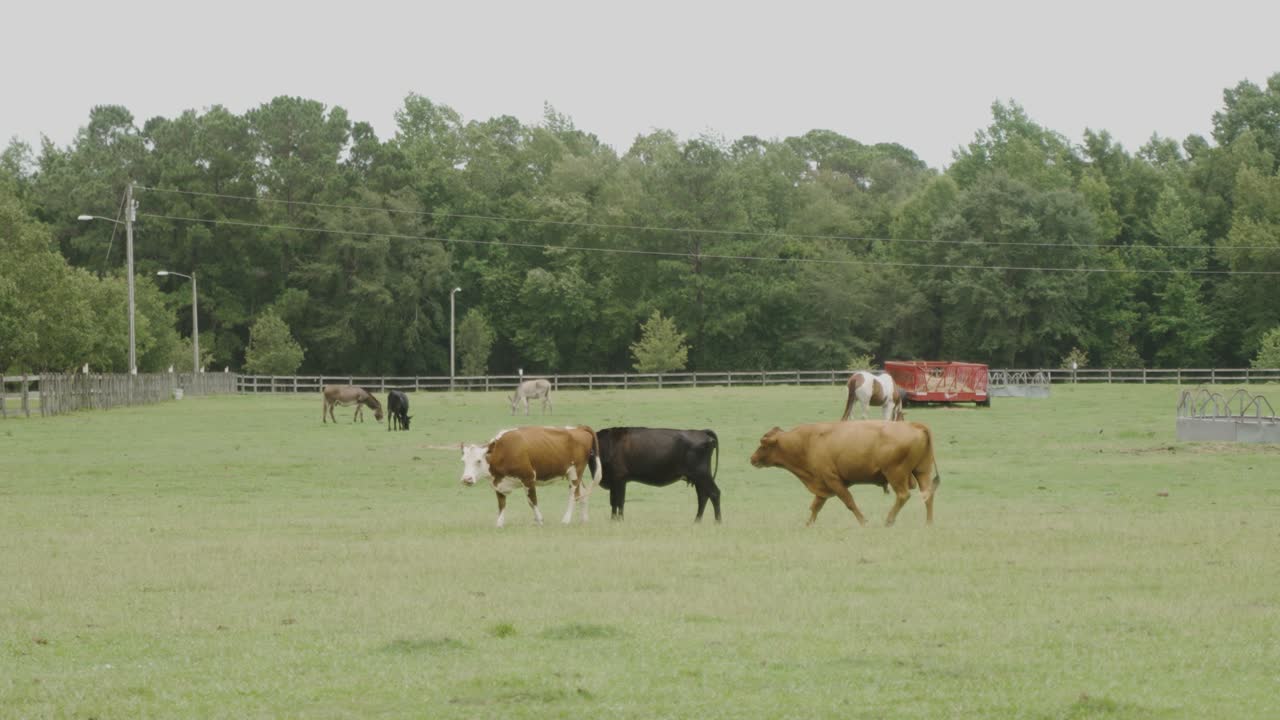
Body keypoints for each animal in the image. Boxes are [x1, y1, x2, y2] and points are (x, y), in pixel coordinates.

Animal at [459, 425, 601, 528]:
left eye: (478, 461)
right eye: (463, 461)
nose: (467, 479)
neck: (504, 450)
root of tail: (578, 428)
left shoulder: (528, 478)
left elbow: (532, 501)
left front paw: (539, 520)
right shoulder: (499, 483)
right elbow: (501, 504)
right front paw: (499, 524)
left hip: (574, 473)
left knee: (574, 495)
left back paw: (566, 520)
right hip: (575, 475)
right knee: (583, 493)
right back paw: (584, 520)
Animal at [749, 421, 939, 527]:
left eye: (763, 445)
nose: (752, 458)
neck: (807, 442)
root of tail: (914, 425)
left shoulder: (832, 480)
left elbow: (849, 502)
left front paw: (863, 522)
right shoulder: (822, 484)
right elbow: (816, 506)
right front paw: (808, 524)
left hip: (895, 474)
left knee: (903, 495)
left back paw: (889, 520)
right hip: (922, 471)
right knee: (928, 495)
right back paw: (929, 523)